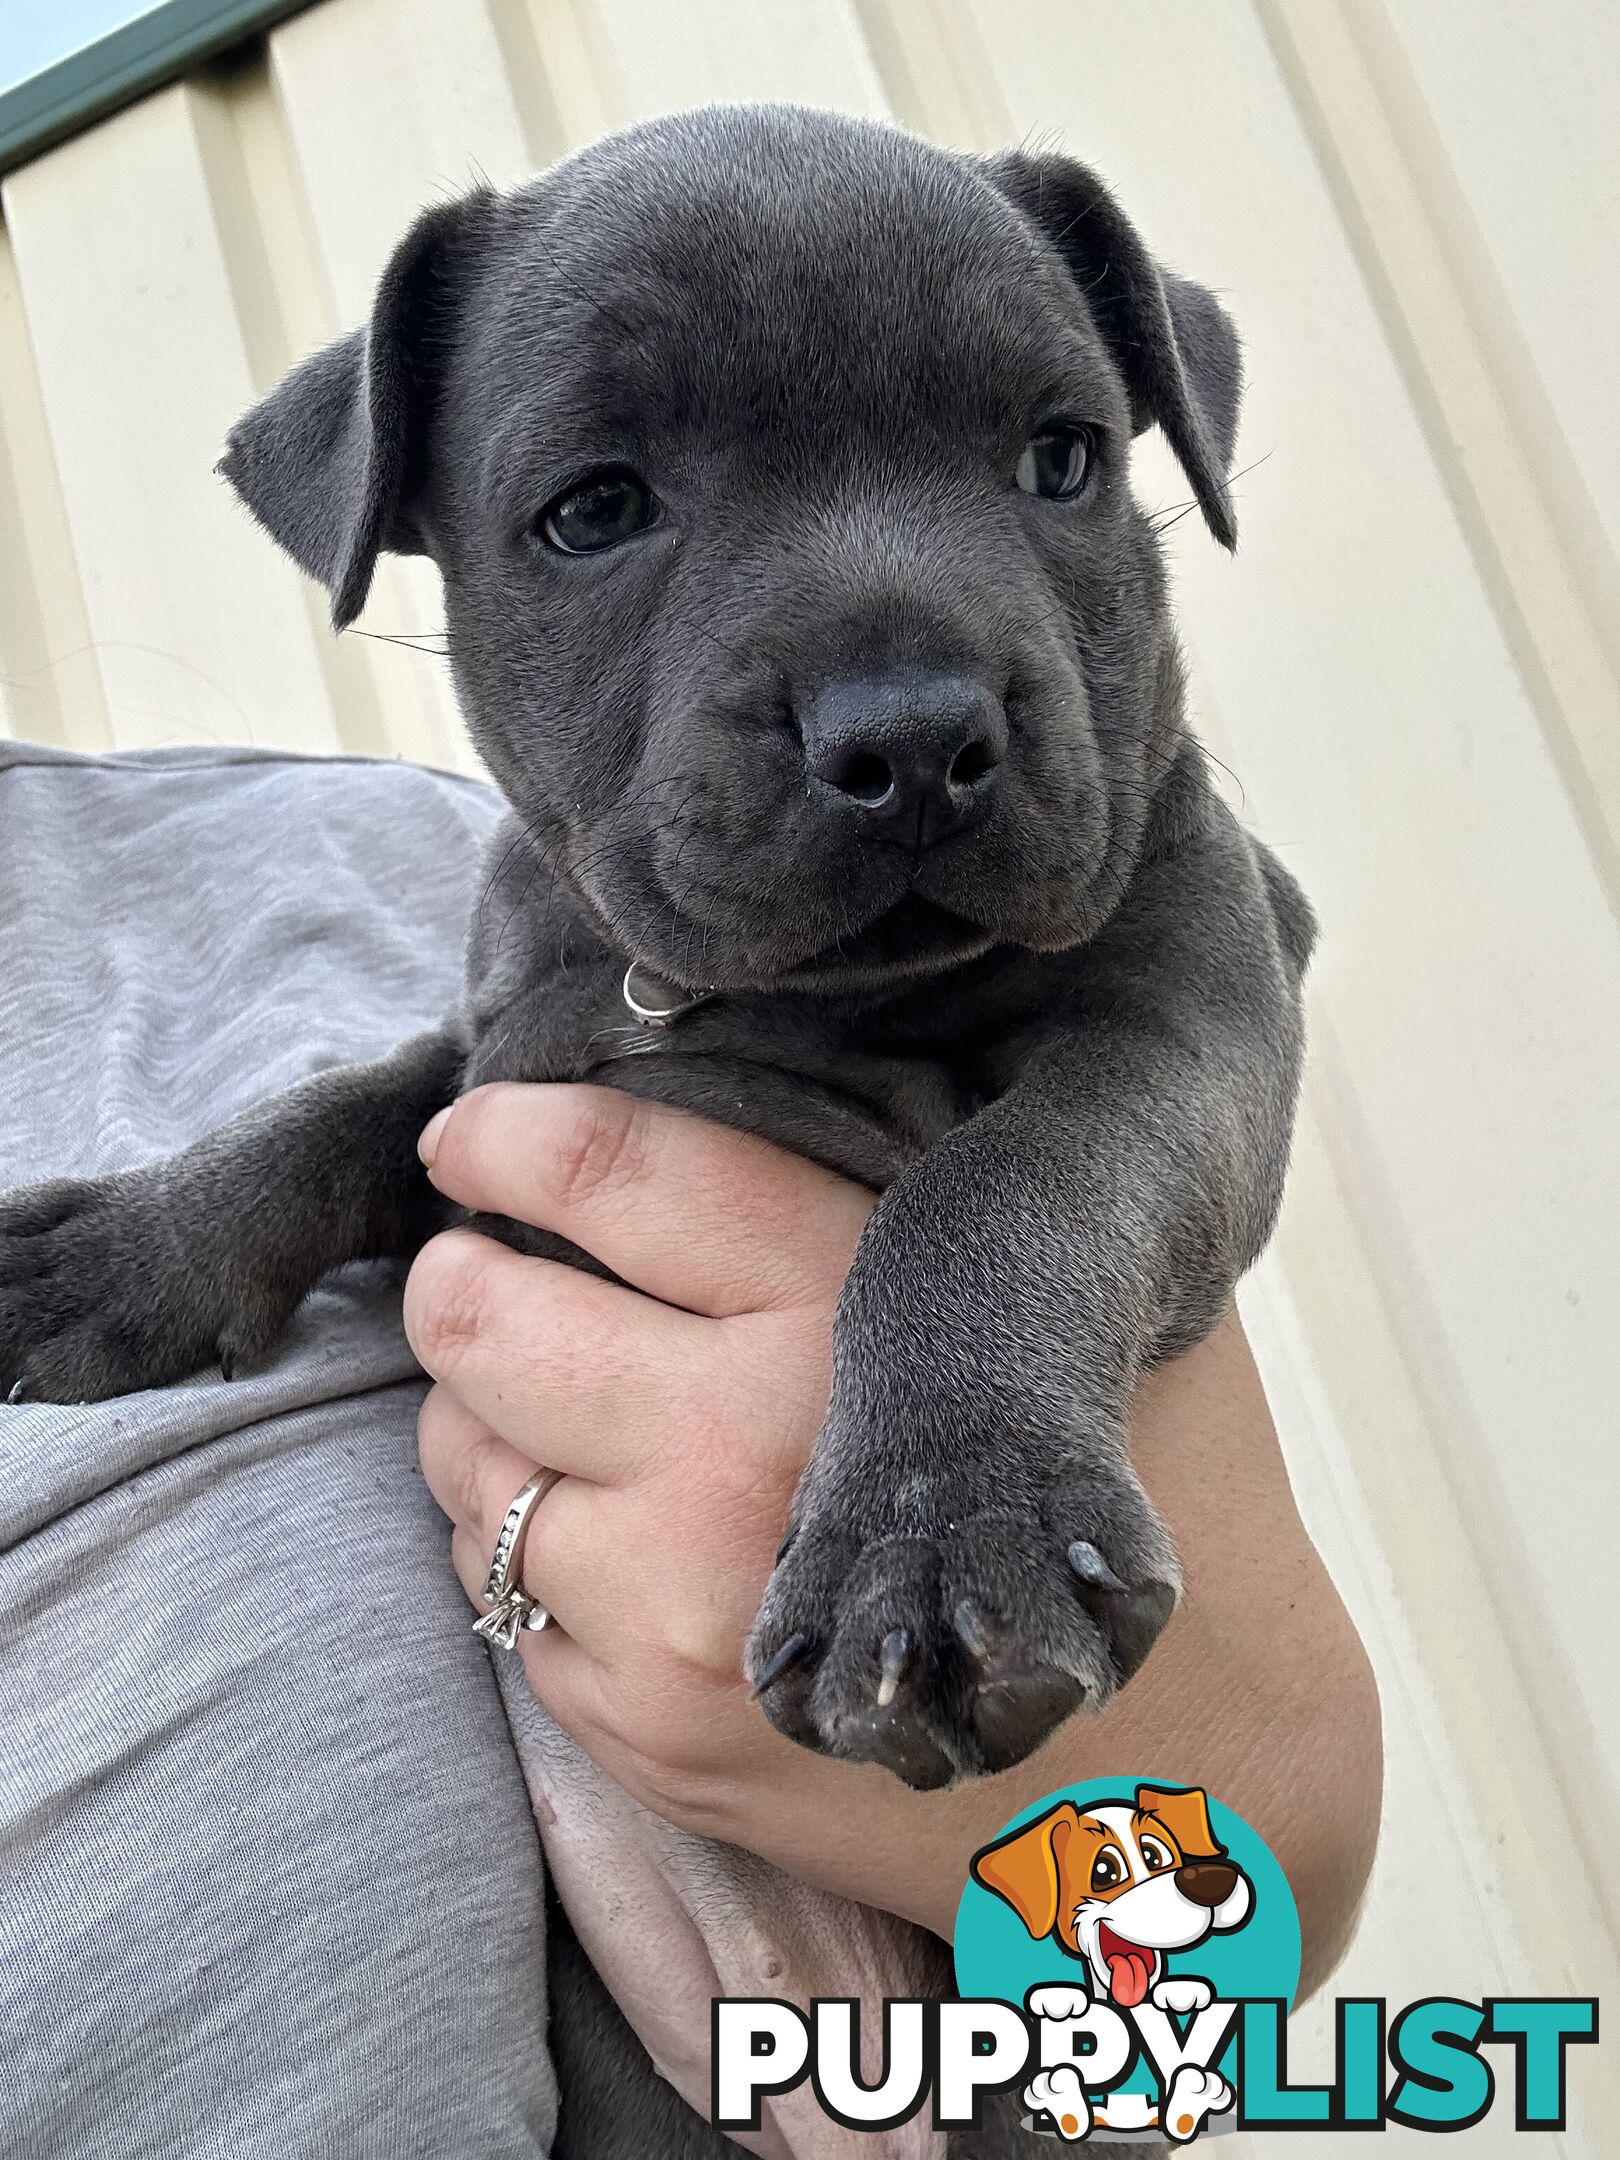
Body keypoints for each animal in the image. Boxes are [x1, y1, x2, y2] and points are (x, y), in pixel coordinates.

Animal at [0, 109, 1313, 1805]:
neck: (738, 989)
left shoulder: (1197, 1020)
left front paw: (941, 1525)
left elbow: (1013, 1175)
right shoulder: (499, 1053)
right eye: (596, 510)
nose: (911, 734)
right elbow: (351, 1103)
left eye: (1061, 459)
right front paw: (127, 1242)